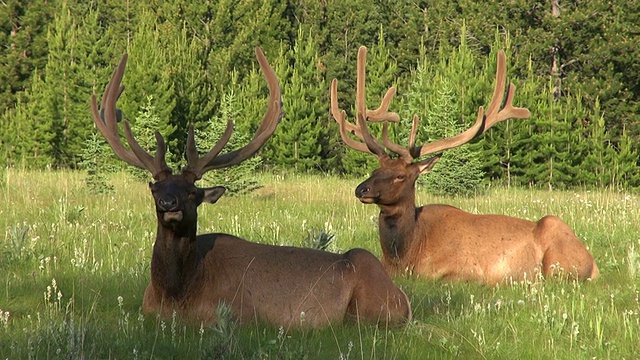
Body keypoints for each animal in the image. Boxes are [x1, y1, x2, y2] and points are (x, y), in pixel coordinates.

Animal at [91, 47, 410, 330]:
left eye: (192, 193)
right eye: (155, 189)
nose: (169, 204)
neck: (175, 294)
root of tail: (403, 298)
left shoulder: (239, 314)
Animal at [330, 46, 600, 286]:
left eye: (400, 176)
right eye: (375, 170)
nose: (362, 189)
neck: (407, 255)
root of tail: (595, 264)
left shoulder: (464, 271)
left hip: (556, 248)